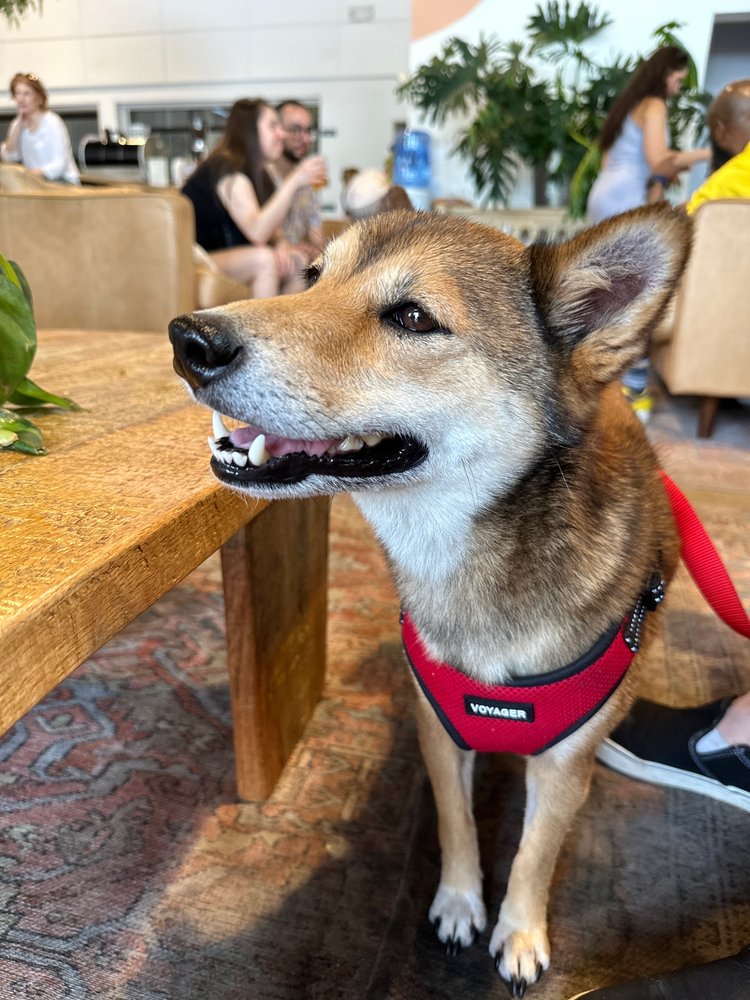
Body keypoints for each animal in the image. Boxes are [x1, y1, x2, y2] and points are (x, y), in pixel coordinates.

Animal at [169, 205, 691, 994]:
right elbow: (455, 823)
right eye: (312, 277)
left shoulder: (563, 766)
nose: (189, 339)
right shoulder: (438, 729)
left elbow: (535, 853)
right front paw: (458, 902)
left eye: (413, 317)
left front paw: (519, 932)